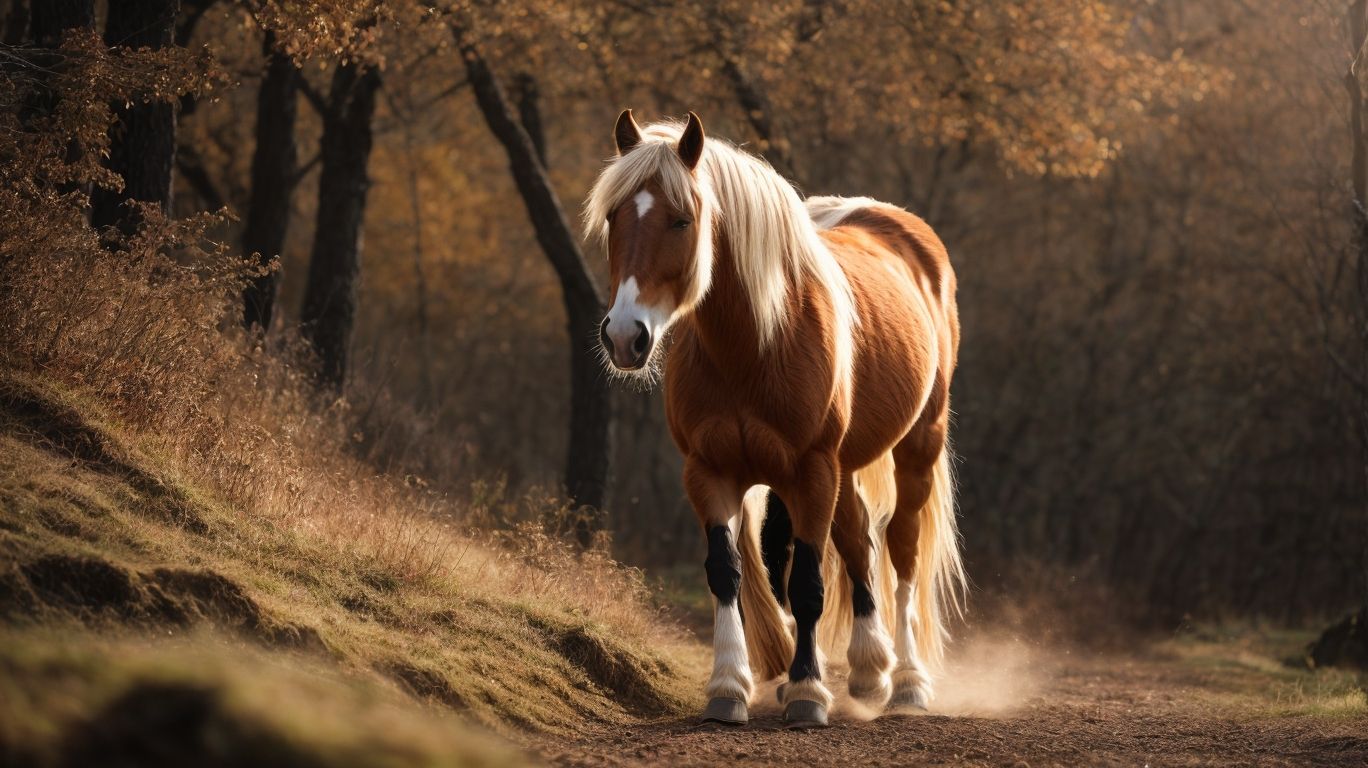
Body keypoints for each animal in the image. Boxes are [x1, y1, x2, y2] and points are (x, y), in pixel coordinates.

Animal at [585, 110, 966, 728]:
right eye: (615, 216)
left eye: (681, 219)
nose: (624, 336)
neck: (757, 342)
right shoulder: (710, 471)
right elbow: (727, 572)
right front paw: (728, 687)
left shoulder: (810, 470)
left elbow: (807, 582)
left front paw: (808, 692)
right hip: (843, 467)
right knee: (858, 539)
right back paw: (868, 669)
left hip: (916, 446)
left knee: (901, 550)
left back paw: (908, 682)